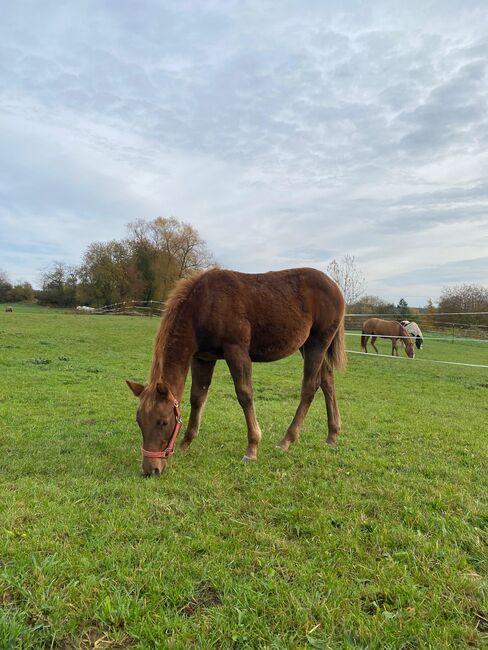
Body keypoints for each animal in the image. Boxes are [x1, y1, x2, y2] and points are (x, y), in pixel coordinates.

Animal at [126, 266, 346, 474]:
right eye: (139, 421)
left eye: (163, 422)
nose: (150, 469)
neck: (203, 304)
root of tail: (335, 288)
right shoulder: (203, 358)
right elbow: (197, 397)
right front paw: (186, 442)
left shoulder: (236, 351)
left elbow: (244, 395)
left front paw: (252, 448)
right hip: (307, 346)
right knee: (327, 382)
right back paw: (332, 435)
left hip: (317, 344)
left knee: (310, 387)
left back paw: (286, 440)